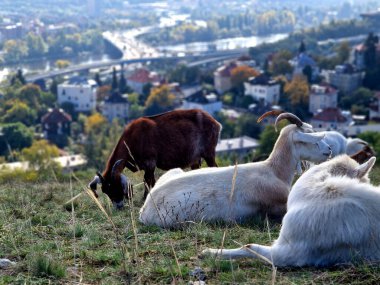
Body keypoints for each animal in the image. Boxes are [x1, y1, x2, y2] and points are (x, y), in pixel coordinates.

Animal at [88, 108, 221, 206]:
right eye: (105, 190)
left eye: (114, 186)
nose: (118, 206)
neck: (133, 138)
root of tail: (215, 123)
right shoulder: (149, 166)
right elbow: (152, 180)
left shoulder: (150, 162)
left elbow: (147, 180)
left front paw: (144, 198)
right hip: (195, 159)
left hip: (209, 153)